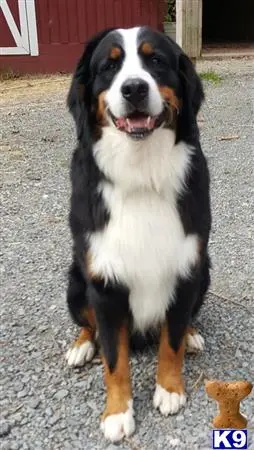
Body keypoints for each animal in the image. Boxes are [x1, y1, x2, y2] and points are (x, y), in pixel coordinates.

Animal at [65, 26, 210, 442]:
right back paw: (81, 347)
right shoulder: (105, 283)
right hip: (76, 281)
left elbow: (171, 341)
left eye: (156, 60)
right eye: (109, 66)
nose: (133, 89)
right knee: (87, 325)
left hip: (205, 272)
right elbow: (114, 359)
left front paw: (170, 389)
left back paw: (194, 334)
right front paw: (117, 413)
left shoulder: (185, 269)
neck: (142, 174)